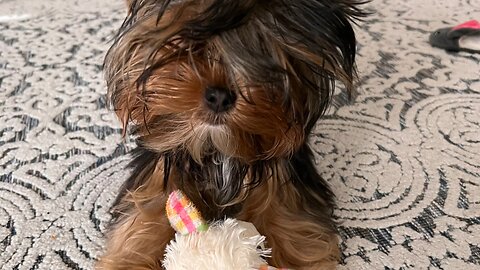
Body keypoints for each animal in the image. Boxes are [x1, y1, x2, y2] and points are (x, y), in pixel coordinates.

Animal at [98, 1, 364, 268]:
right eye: (192, 46)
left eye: (263, 54)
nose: (219, 96)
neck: (217, 147)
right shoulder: (164, 162)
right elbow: (151, 204)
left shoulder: (283, 170)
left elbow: (285, 207)